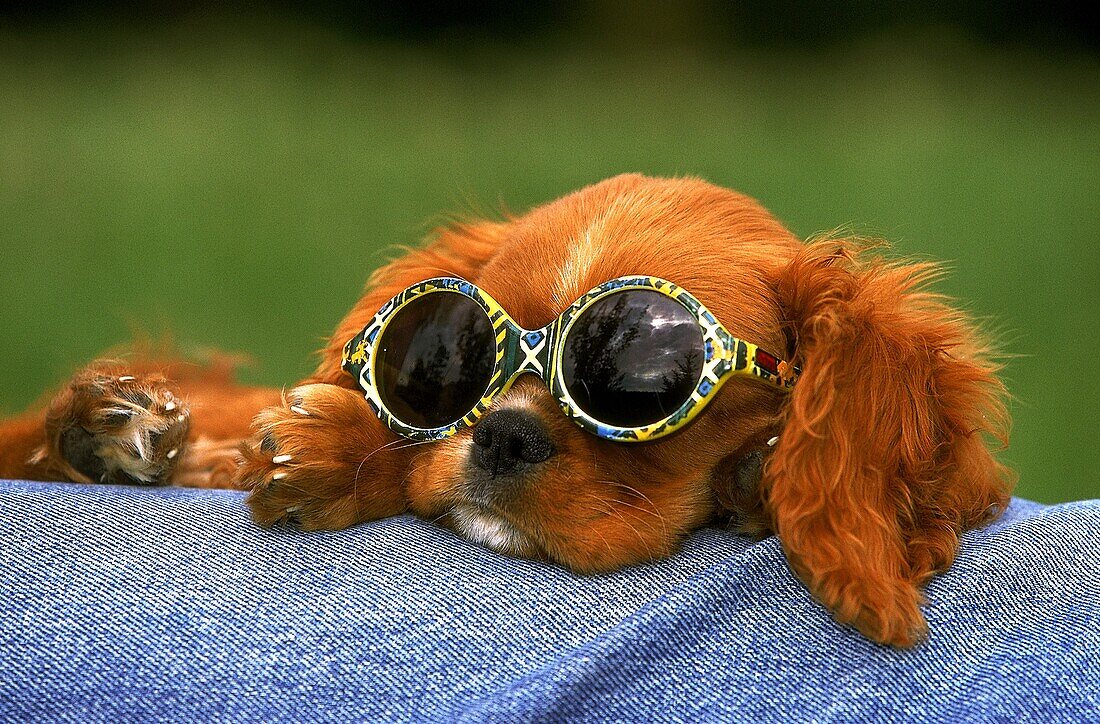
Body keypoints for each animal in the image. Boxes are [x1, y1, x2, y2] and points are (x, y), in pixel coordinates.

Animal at [0, 173, 1007, 642]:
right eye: (453, 362)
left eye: (643, 372)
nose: (504, 435)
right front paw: (322, 446)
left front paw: (761, 473)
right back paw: (105, 431)